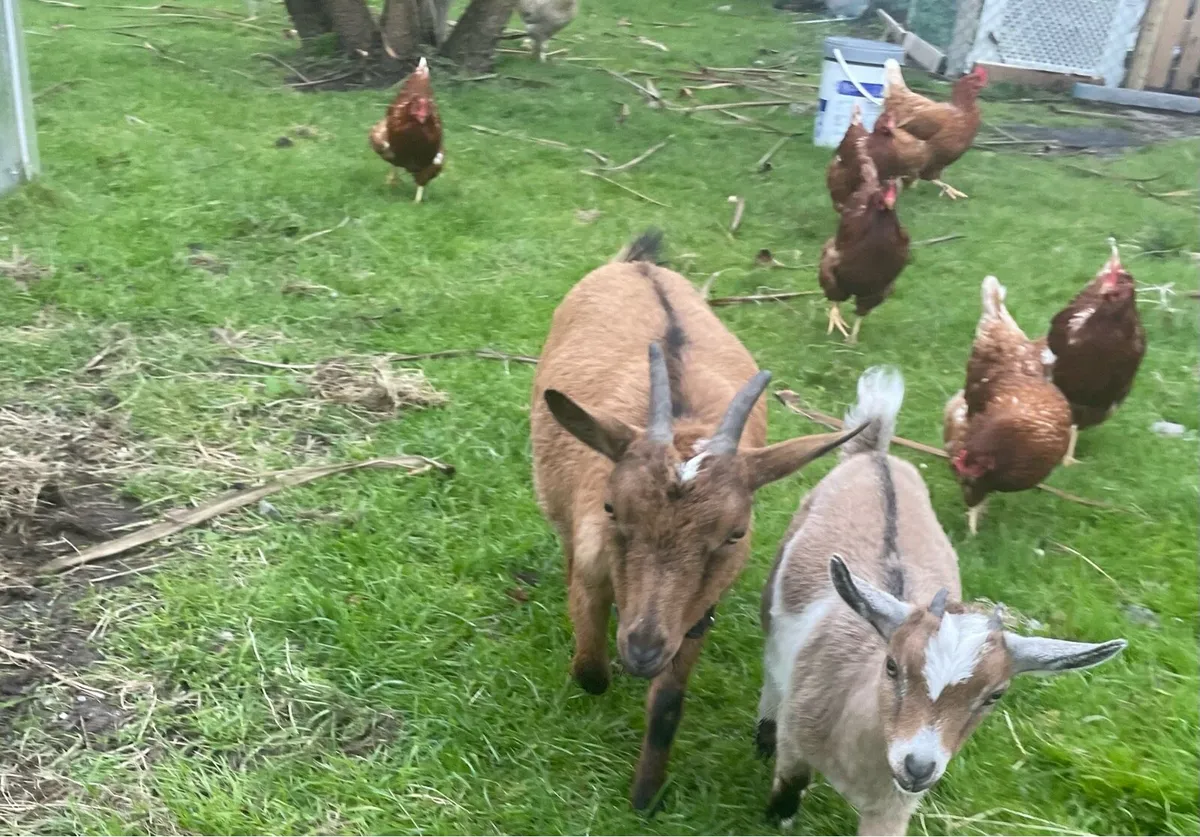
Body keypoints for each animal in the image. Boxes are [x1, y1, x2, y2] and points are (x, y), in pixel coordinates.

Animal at [530, 231, 864, 809]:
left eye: (735, 533)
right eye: (612, 507)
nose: (643, 649)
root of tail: (638, 265)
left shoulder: (698, 609)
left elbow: (667, 704)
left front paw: (645, 796)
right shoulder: (595, 563)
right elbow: (589, 667)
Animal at [757, 366, 1127, 835]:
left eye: (995, 695)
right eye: (892, 666)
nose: (919, 766)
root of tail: (876, 454)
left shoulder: (894, 806)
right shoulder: (796, 743)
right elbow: (787, 790)